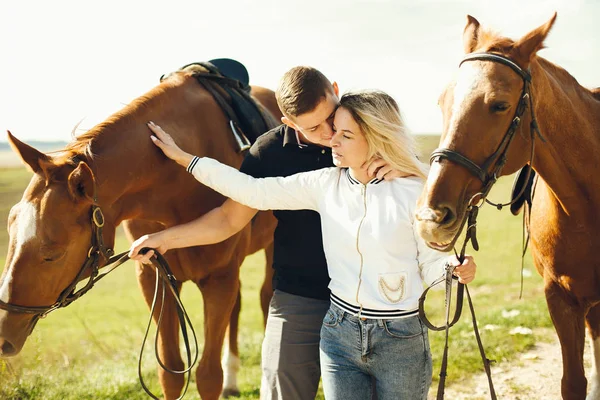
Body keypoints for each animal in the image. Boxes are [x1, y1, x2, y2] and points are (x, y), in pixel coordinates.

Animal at [0, 60, 278, 400]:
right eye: (12, 231)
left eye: (53, 254)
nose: (2, 334)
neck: (176, 185)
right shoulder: (155, 275)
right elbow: (170, 372)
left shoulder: (218, 278)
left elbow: (208, 376)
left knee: (266, 297)